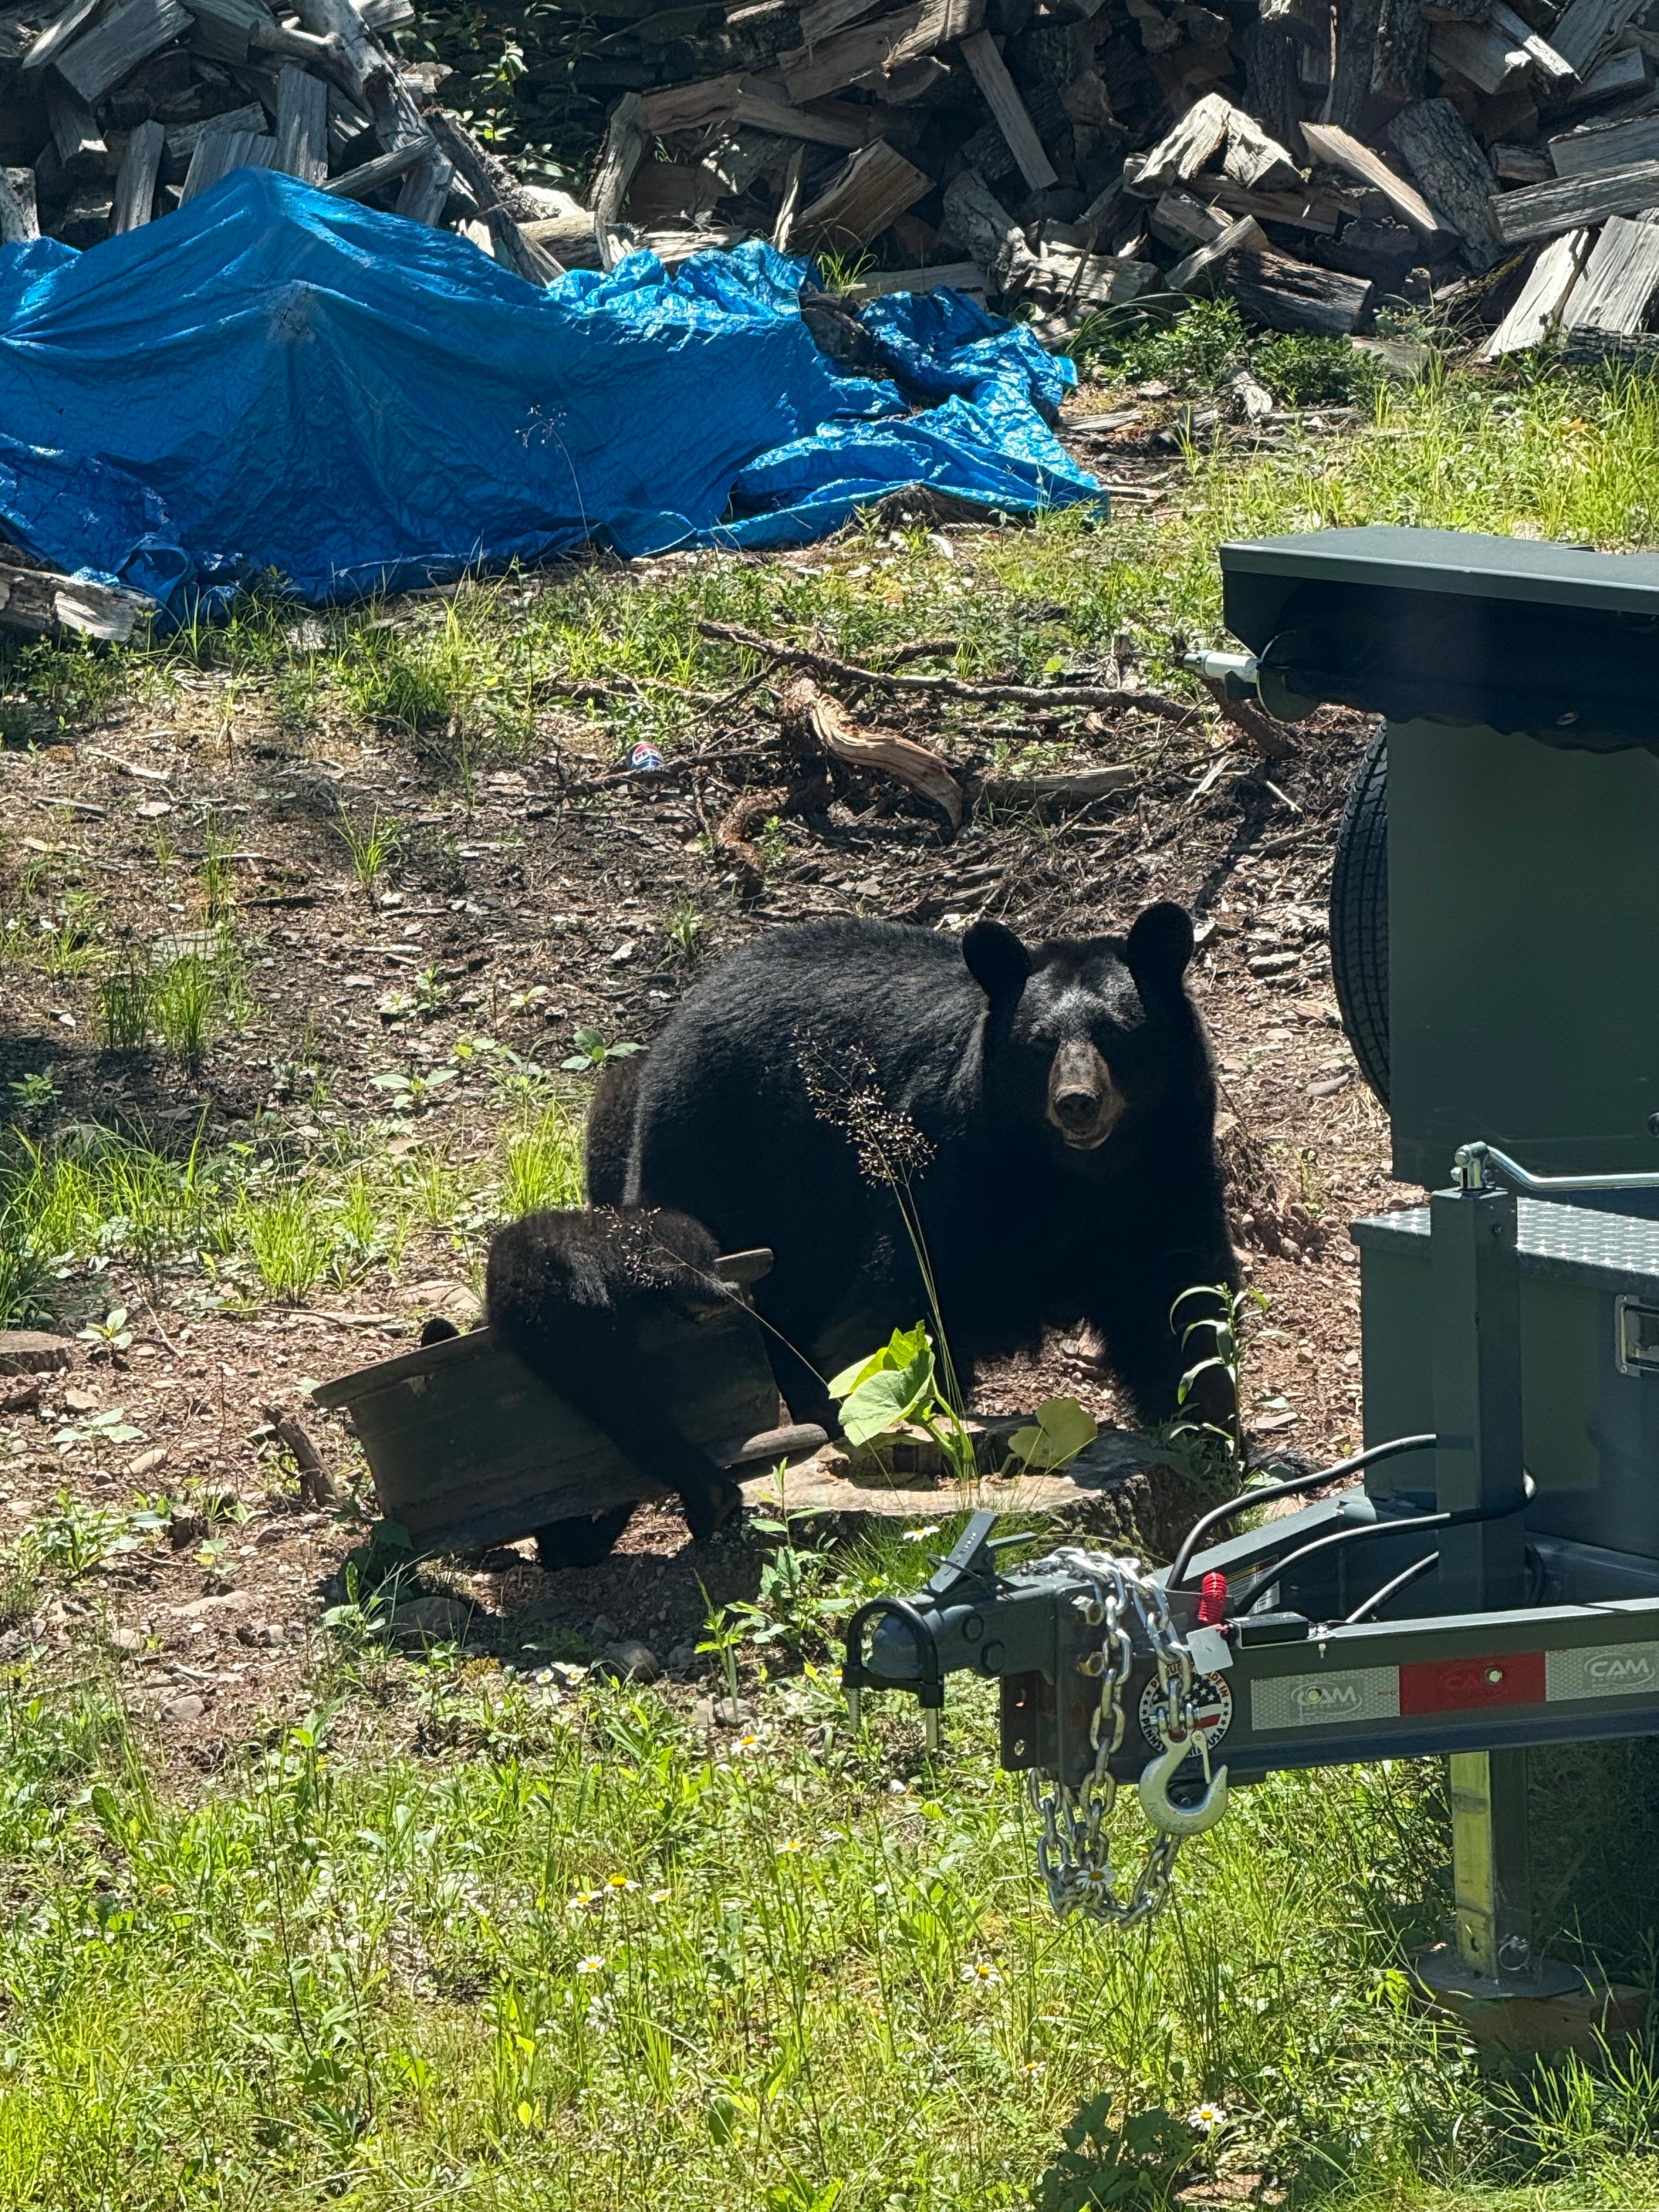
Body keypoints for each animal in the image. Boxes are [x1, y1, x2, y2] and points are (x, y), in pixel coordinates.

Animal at [595, 905, 1237, 1437]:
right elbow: (892, 1313)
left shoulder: (1165, 1177)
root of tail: (680, 1017)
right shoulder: (955, 1176)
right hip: (724, 1163)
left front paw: (1208, 1432)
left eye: (1117, 1034)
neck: (1074, 1177)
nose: (1076, 1102)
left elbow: (1178, 1304)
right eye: (1040, 1042)